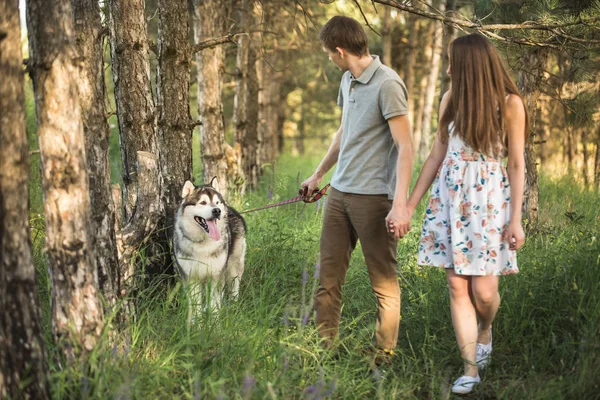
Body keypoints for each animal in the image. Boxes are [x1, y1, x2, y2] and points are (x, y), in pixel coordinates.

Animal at [173, 178, 246, 312]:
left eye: (216, 202)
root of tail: (231, 209)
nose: (217, 210)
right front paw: (197, 318)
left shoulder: (216, 276)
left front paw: (214, 318)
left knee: (235, 284)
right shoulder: (191, 278)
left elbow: (215, 305)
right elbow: (195, 306)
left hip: (234, 263)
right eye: (203, 202)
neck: (202, 243)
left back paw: (234, 305)